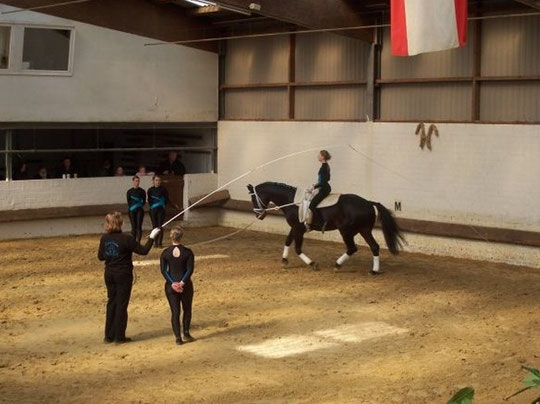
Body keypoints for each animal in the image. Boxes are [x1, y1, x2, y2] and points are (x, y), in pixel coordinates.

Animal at [247, 183, 402, 274]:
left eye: (254, 198)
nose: (258, 215)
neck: (292, 201)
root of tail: (369, 202)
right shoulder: (295, 227)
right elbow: (287, 241)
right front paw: (284, 261)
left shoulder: (298, 229)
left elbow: (297, 248)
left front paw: (312, 264)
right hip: (364, 230)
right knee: (374, 247)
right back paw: (374, 270)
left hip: (346, 231)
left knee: (352, 248)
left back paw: (337, 265)